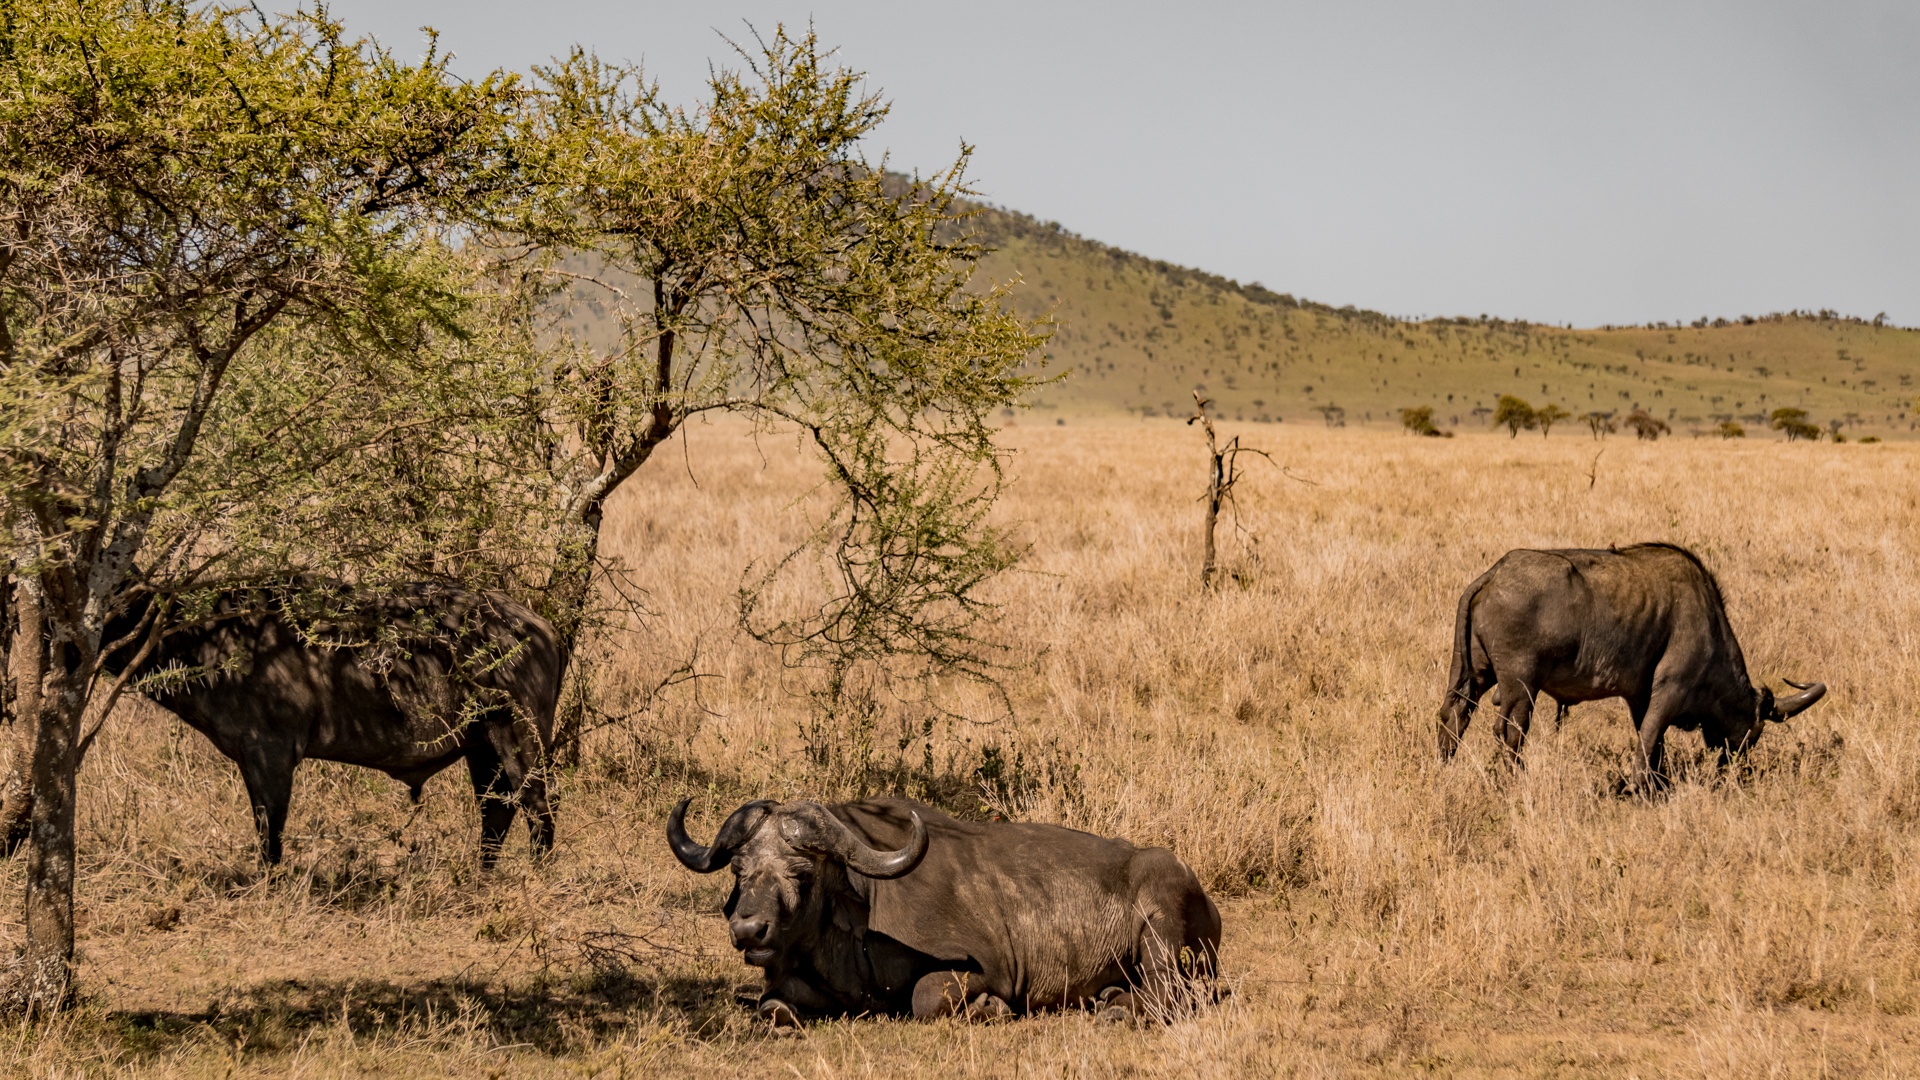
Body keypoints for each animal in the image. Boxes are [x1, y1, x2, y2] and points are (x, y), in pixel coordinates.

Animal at [111, 580, 560, 864]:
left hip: (518, 735)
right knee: (496, 809)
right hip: (481, 746)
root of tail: (542, 628)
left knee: (539, 804)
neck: (214, 636)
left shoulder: (271, 756)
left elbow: (271, 832)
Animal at [668, 795, 1221, 1022]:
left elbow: (925, 997)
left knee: (1173, 994)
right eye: (739, 871)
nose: (749, 930)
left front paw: (989, 1009)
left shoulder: (983, 969)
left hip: (1162, 923)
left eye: (801, 873)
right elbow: (772, 1006)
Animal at [1443, 541, 1827, 787]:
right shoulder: (1668, 692)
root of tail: (1493, 575)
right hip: (1521, 688)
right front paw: (1640, 789)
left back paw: (1443, 767)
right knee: (1509, 731)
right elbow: (1648, 741)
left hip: (1473, 675)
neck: (1710, 623)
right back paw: (1516, 781)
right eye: (1754, 733)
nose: (1733, 768)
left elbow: (1655, 746)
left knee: (1452, 716)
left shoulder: (1639, 698)